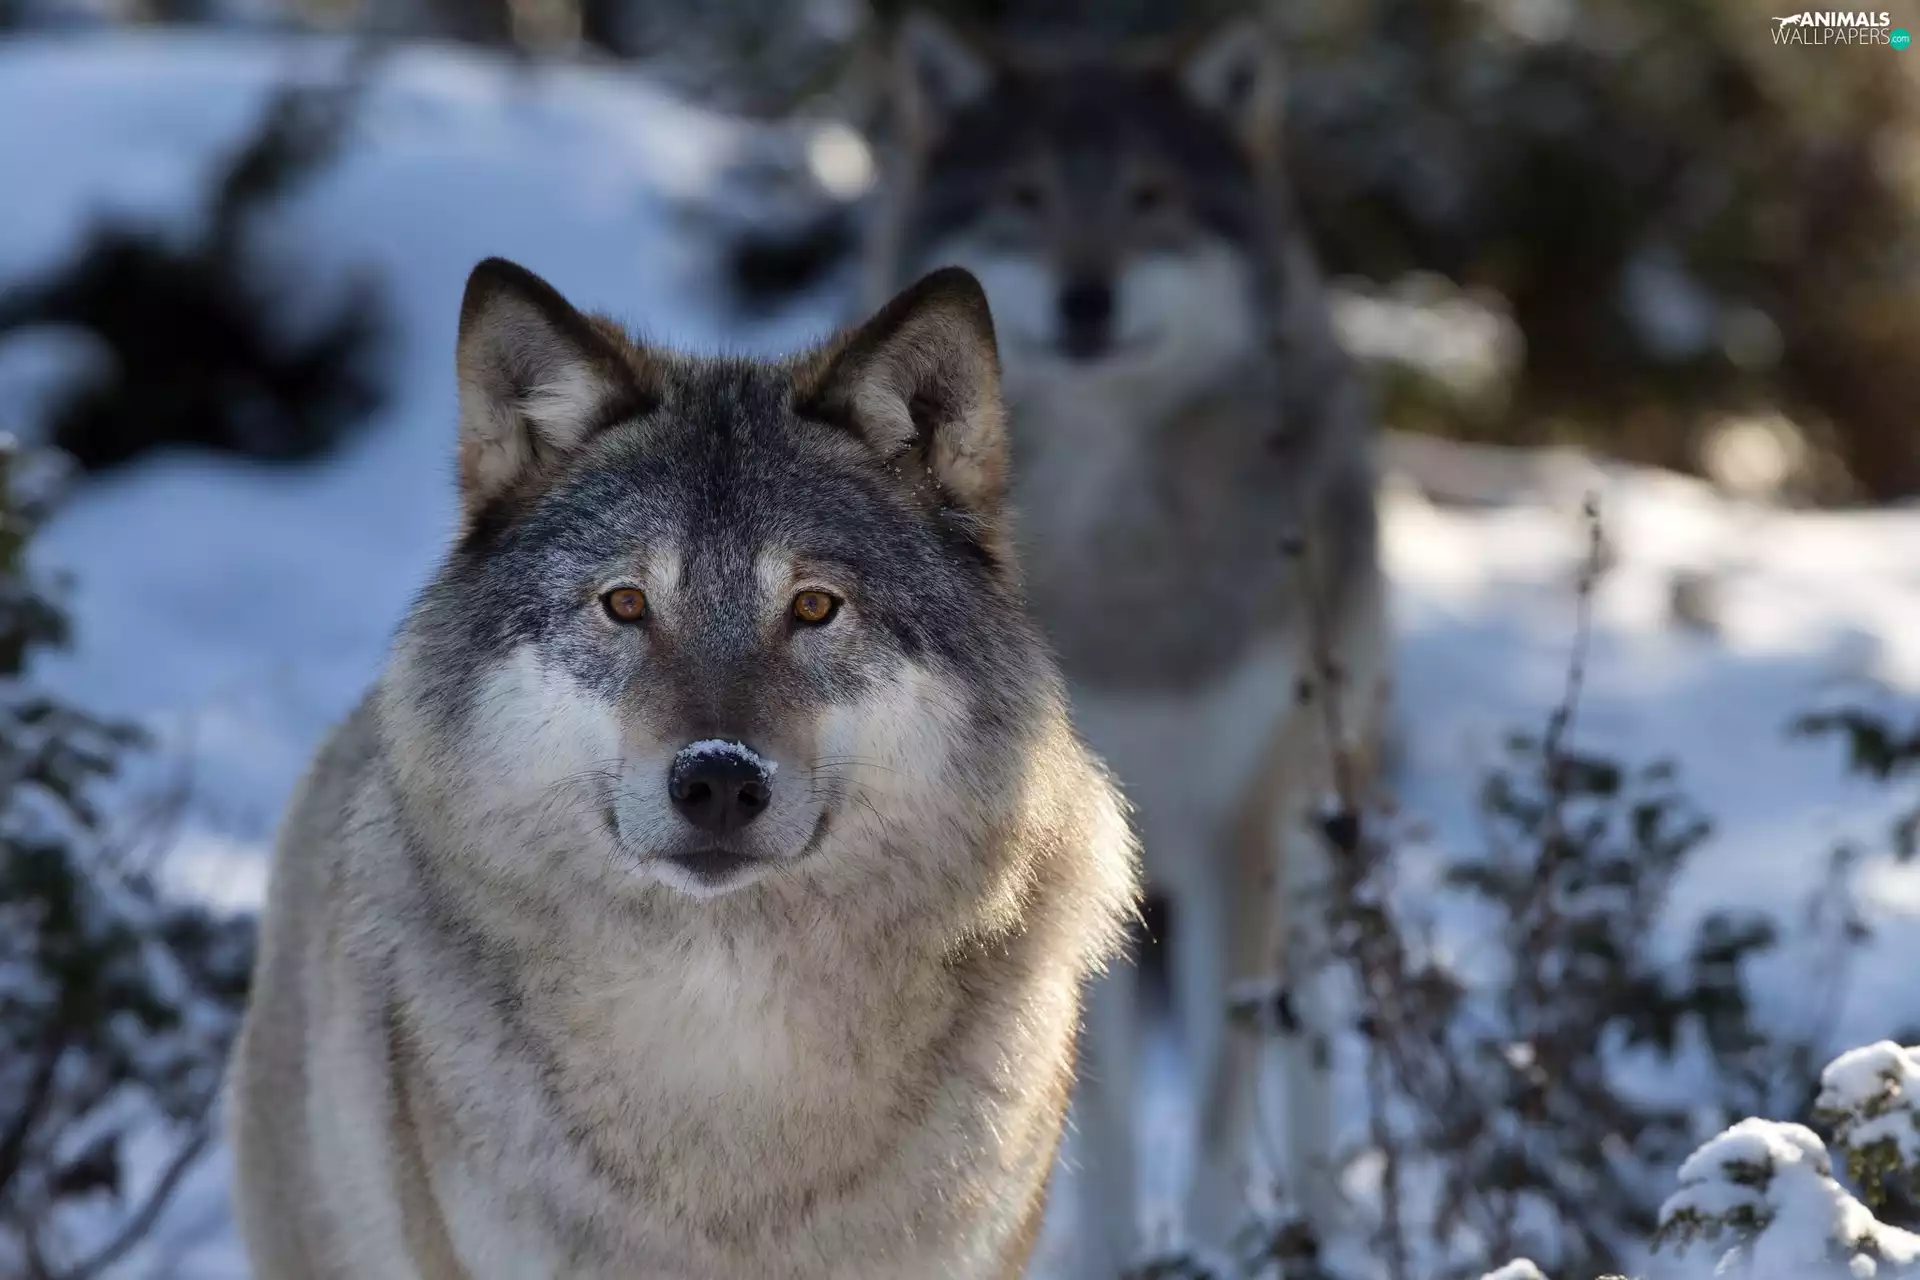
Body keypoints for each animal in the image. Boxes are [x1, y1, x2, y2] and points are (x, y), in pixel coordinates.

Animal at [865, 12, 1392, 1274]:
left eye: (1151, 196)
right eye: (1025, 196)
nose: (1086, 296)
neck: (1123, 551)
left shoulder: (1239, 824)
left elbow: (1220, 1090)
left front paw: (1205, 1243)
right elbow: (1090, 1098)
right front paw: (1103, 1249)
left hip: (1316, 822)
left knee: (1305, 1039)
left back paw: (1324, 1214)